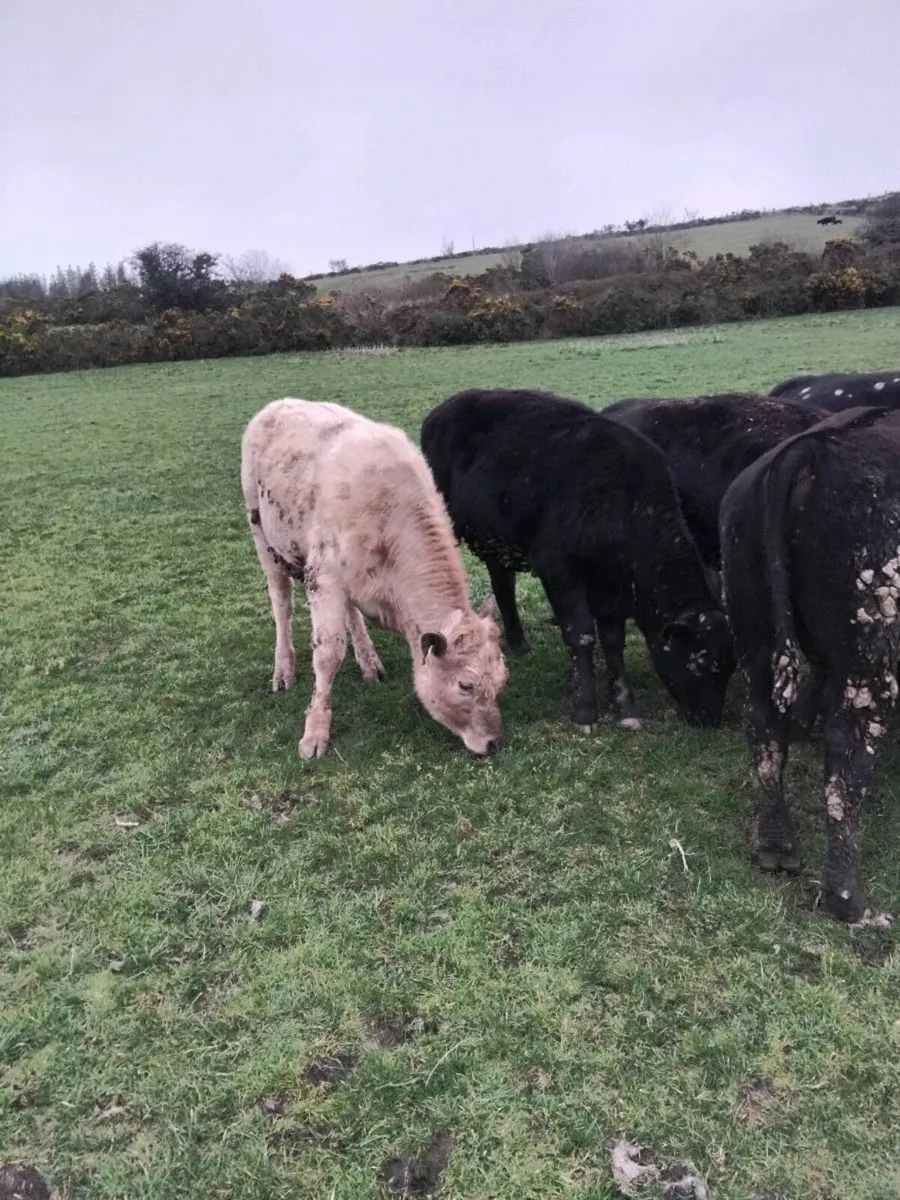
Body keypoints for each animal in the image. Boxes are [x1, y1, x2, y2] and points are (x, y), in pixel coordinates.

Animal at [241, 398, 509, 758]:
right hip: (262, 536)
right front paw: (315, 732)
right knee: (281, 603)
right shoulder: (324, 577)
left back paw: (369, 662)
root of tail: (278, 405)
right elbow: (328, 654)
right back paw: (284, 670)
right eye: (465, 685)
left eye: (502, 679)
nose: (493, 742)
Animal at [420, 388, 735, 732]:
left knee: (502, 583)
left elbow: (612, 639)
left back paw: (518, 642)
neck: (622, 503)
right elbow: (580, 635)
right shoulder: (560, 573)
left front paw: (626, 706)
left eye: (729, 666)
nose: (710, 718)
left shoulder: (610, 584)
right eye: (698, 663)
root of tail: (445, 407)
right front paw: (585, 709)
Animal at [720, 405, 900, 926]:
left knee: (763, 722)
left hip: (755, 631)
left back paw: (776, 846)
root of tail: (814, 449)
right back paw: (848, 899)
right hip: (873, 658)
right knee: (848, 758)